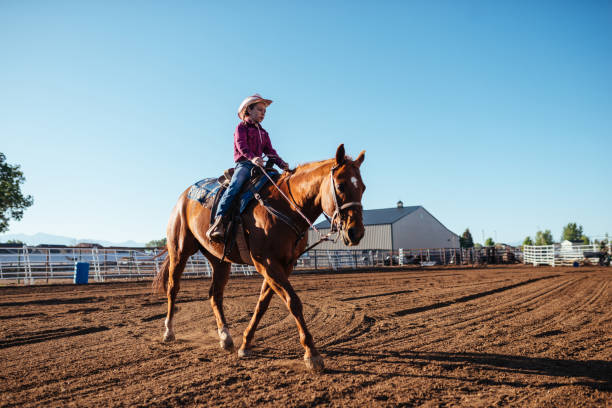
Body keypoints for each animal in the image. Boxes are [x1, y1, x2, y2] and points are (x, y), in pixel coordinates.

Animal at [154, 143, 364, 370]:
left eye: (363, 187)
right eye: (341, 185)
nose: (356, 233)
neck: (285, 206)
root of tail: (184, 197)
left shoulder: (285, 264)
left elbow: (263, 303)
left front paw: (246, 344)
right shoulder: (267, 262)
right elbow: (293, 301)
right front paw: (312, 353)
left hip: (219, 260)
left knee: (215, 294)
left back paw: (225, 337)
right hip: (179, 251)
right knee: (173, 288)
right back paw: (168, 331)